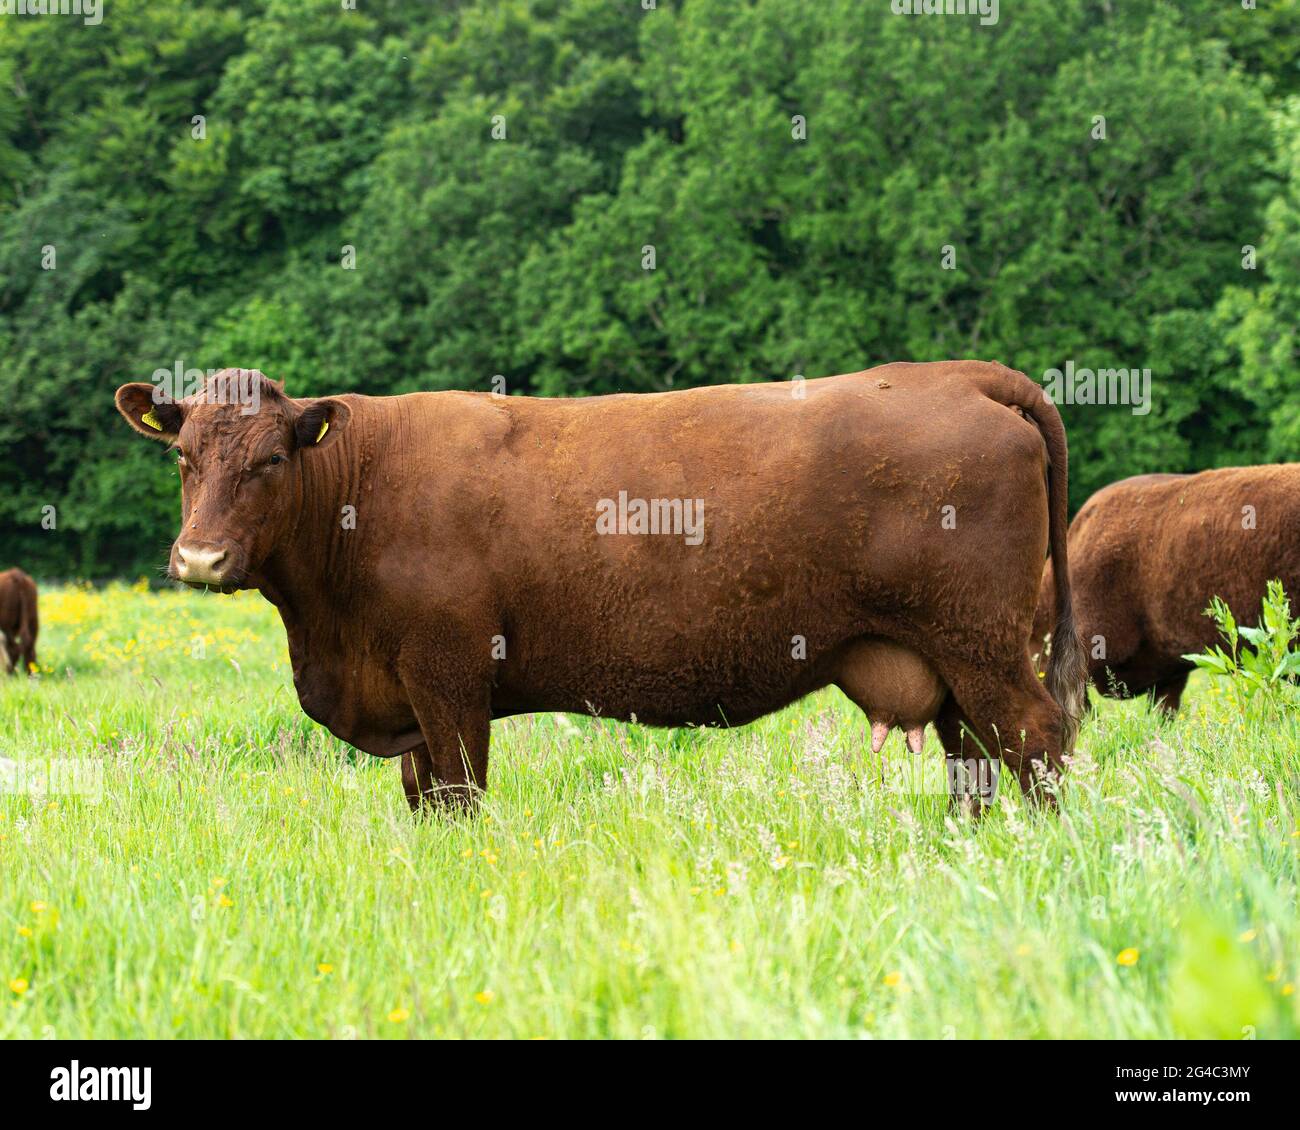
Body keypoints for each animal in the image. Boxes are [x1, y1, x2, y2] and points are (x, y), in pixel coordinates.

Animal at [116, 361, 1086, 812]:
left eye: (272, 460)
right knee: (976, 762)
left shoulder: (448, 674)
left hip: (981, 642)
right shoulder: (408, 695)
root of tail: (957, 375)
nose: (198, 560)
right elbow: (423, 800)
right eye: (183, 455)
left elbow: (461, 799)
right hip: (950, 663)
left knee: (1037, 738)